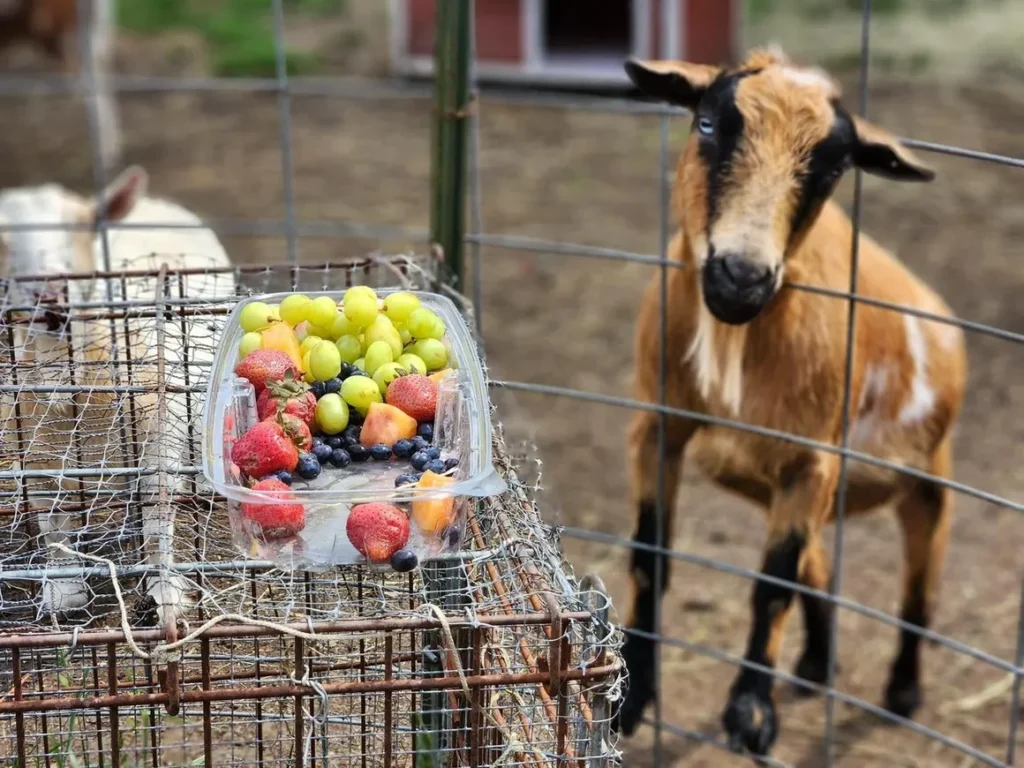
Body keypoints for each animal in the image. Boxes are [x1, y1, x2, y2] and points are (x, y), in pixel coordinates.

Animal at [0, 164, 231, 628]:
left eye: (86, 223)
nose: (49, 296)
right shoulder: (34, 450)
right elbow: (52, 520)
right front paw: (63, 591)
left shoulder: (159, 434)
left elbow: (157, 515)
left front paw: (165, 593)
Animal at [613, 47, 966, 756]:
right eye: (708, 125)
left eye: (832, 167)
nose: (741, 277)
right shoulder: (658, 425)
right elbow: (649, 557)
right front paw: (631, 696)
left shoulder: (811, 459)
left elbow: (771, 584)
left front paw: (750, 714)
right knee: (821, 568)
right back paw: (813, 666)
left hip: (928, 480)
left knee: (918, 593)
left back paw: (902, 694)